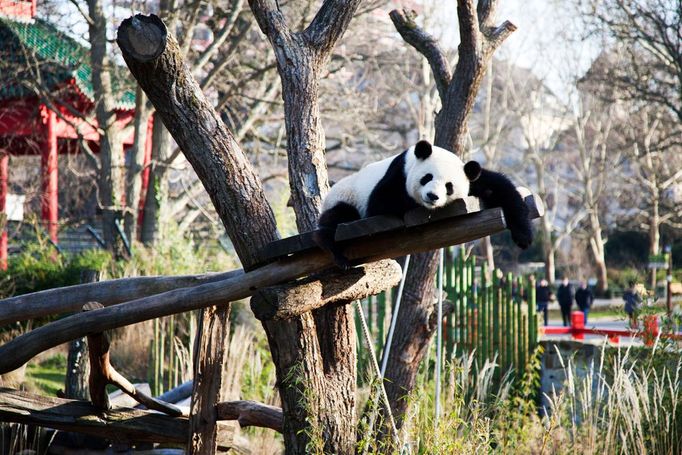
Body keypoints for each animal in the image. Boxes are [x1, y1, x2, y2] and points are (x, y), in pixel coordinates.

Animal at [314, 141, 532, 268]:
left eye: (449, 186)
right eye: (427, 177)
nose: (432, 196)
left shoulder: (471, 177)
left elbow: (500, 188)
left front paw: (523, 237)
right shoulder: (398, 173)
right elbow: (381, 203)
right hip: (344, 197)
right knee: (337, 219)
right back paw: (338, 255)